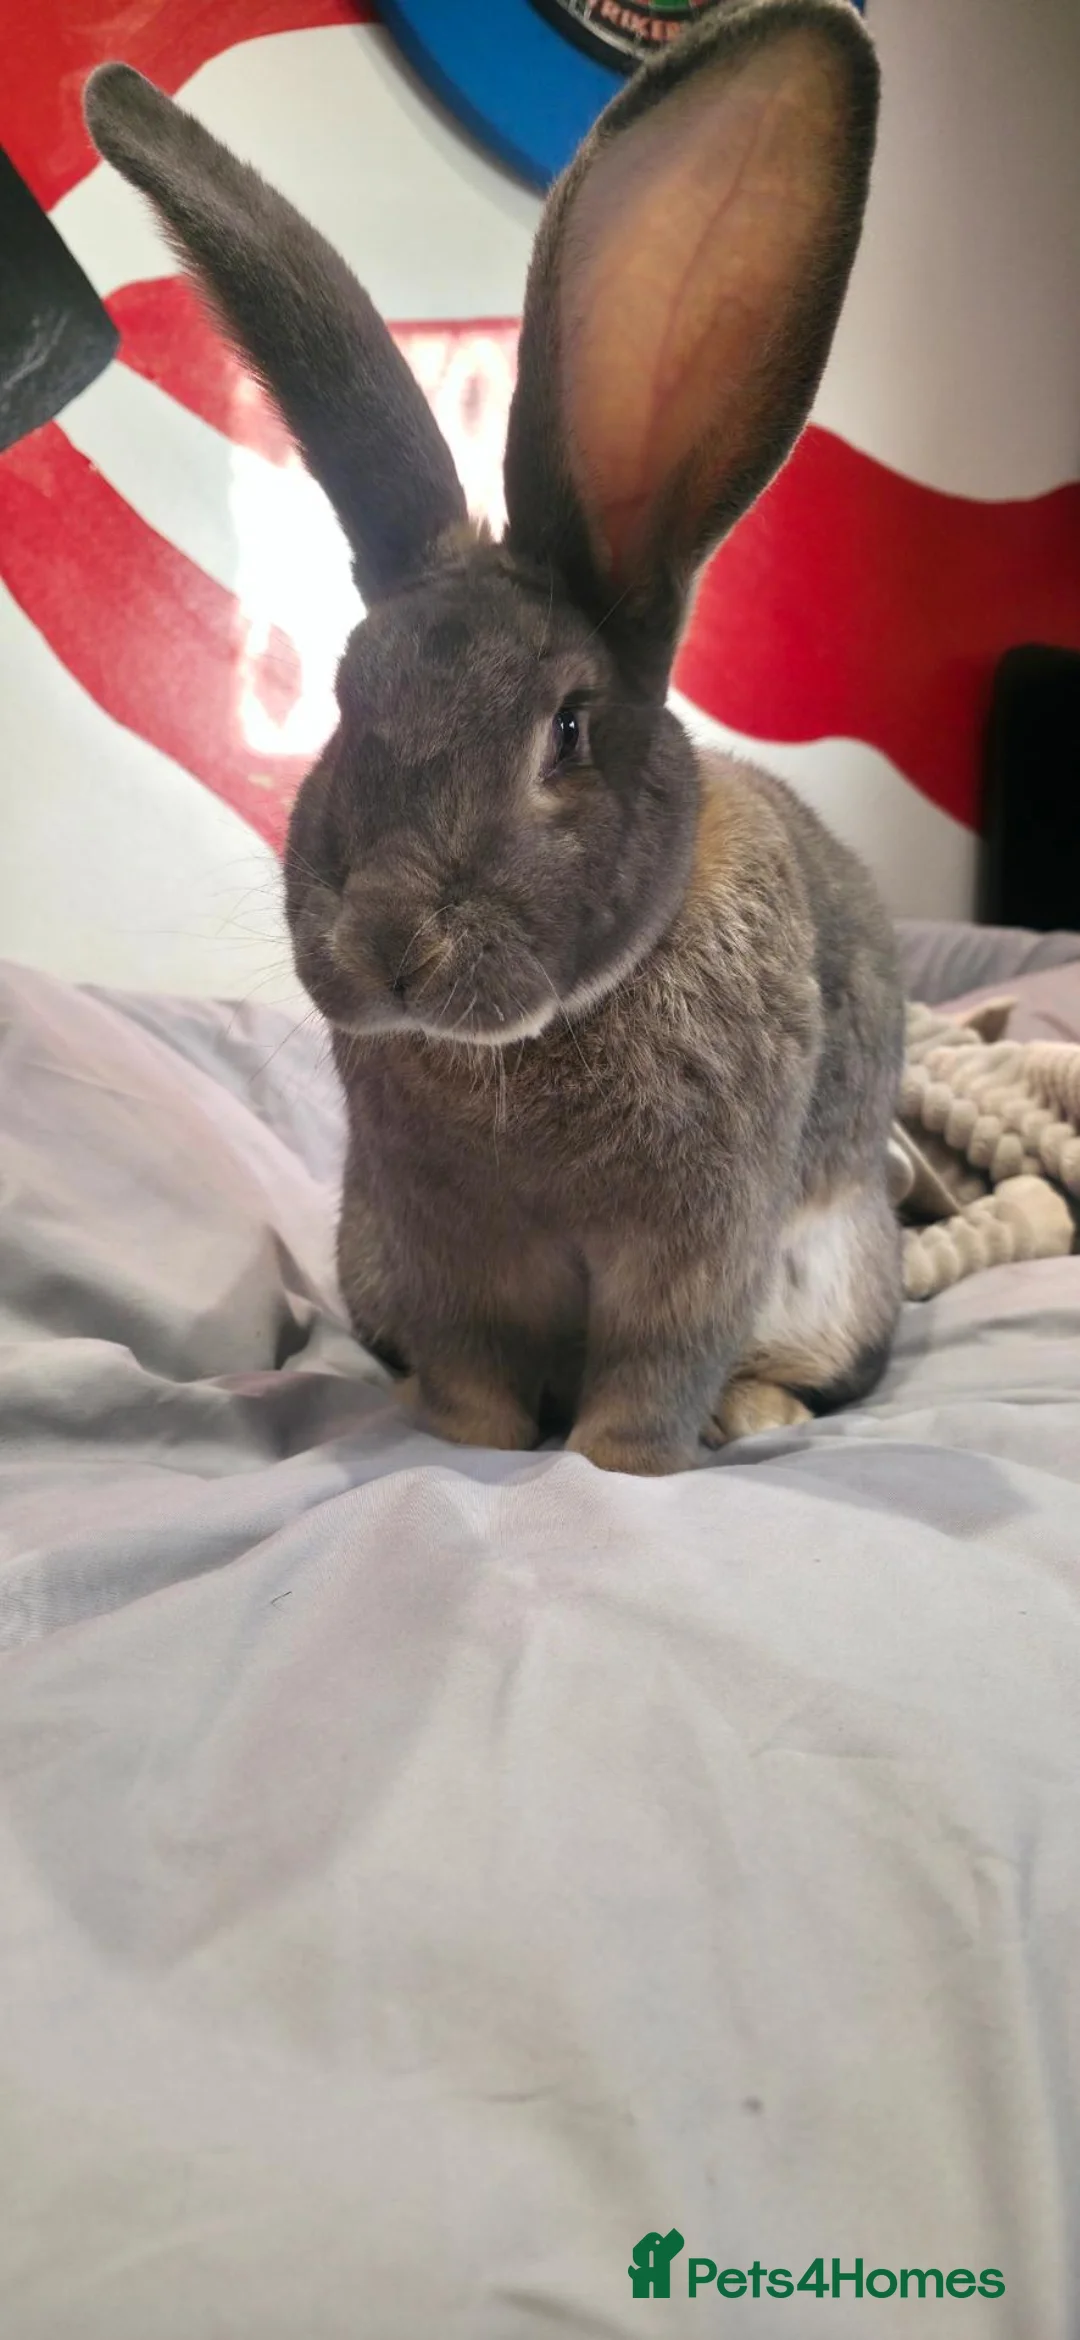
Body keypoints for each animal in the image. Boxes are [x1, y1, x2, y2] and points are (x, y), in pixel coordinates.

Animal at [85, 0, 904, 1477]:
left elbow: (652, 1377)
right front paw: (465, 1447)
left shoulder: (694, 1252)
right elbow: (470, 1372)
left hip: (845, 1272)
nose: (388, 944)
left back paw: (752, 1416)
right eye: (345, 699)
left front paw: (618, 1467)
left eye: (567, 731)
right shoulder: (444, 1250)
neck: (527, 1048)